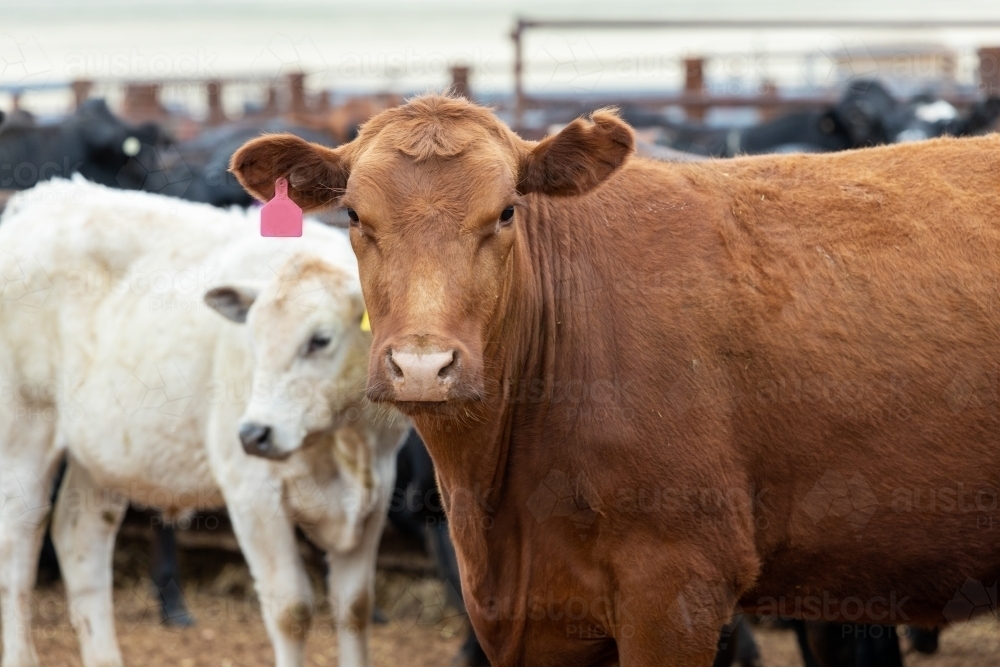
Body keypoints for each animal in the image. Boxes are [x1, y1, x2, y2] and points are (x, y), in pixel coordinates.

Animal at [0, 179, 410, 667]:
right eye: (252, 339)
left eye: (320, 339)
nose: (254, 433)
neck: (344, 440)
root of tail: (39, 200)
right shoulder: (251, 491)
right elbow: (290, 608)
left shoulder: (378, 488)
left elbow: (354, 607)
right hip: (23, 432)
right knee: (17, 547)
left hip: (101, 455)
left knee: (80, 540)